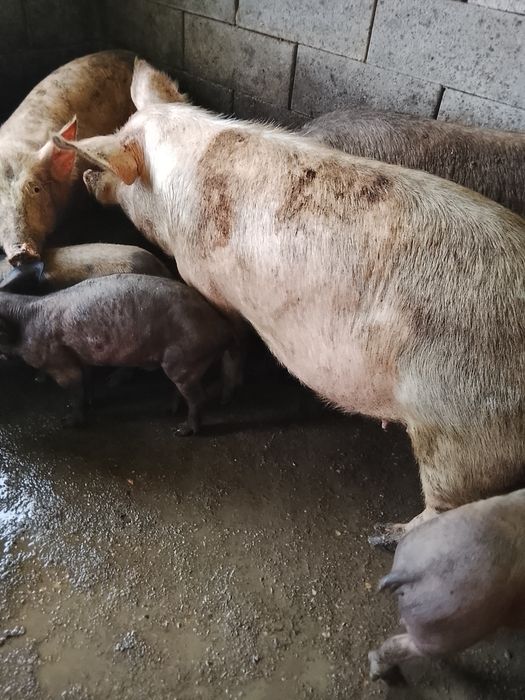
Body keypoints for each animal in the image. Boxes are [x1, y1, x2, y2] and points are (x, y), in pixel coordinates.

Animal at [0, 274, 234, 434]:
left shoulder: (59, 362)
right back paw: (166, 410)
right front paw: (92, 403)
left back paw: (182, 431)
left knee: (198, 397)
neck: (25, 322)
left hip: (184, 358)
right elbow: (86, 382)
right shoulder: (82, 356)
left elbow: (75, 390)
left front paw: (67, 422)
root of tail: (223, 328)